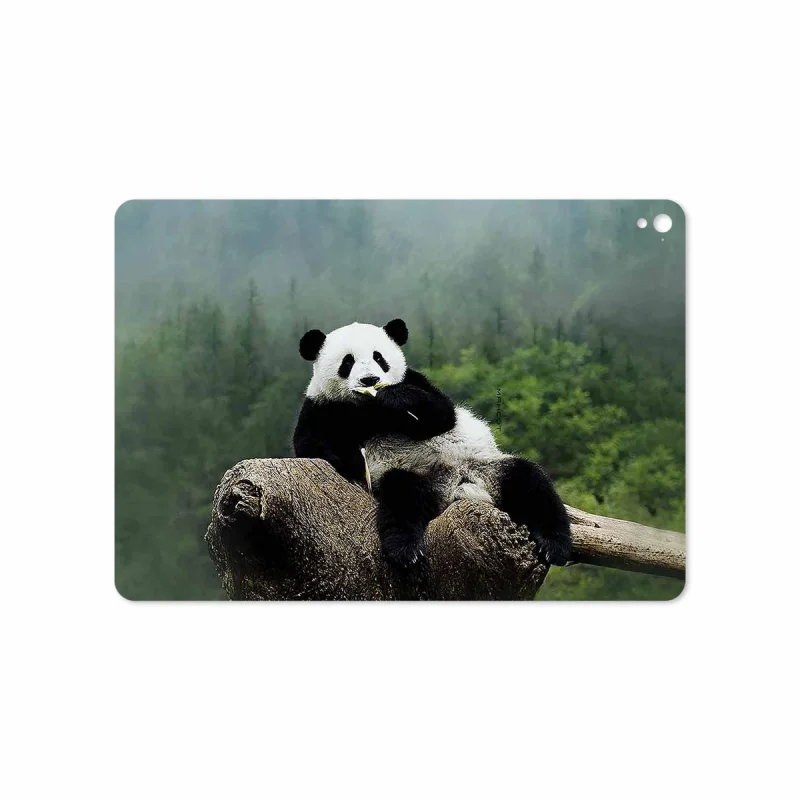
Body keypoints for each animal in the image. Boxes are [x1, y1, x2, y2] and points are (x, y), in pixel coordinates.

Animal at [293, 318, 572, 569]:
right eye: (347, 362)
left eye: (379, 358)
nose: (370, 380)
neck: (369, 409)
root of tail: (457, 486)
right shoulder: (321, 407)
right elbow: (311, 446)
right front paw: (349, 458)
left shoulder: (415, 381)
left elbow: (442, 414)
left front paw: (395, 398)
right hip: (413, 475)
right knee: (402, 497)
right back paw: (405, 550)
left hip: (487, 467)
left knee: (530, 483)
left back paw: (554, 545)